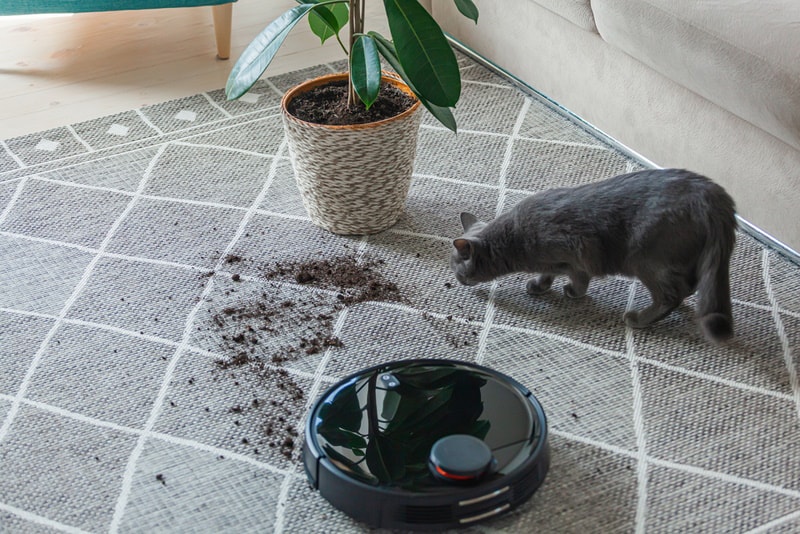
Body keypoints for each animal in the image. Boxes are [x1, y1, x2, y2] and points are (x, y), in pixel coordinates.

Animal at [450, 169, 736, 344]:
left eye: (455, 267)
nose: (457, 280)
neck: (514, 240)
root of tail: (713, 196)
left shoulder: (576, 252)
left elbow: (579, 278)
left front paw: (571, 293)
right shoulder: (557, 260)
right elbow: (549, 272)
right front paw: (539, 286)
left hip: (644, 258)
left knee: (671, 295)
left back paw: (638, 318)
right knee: (690, 285)